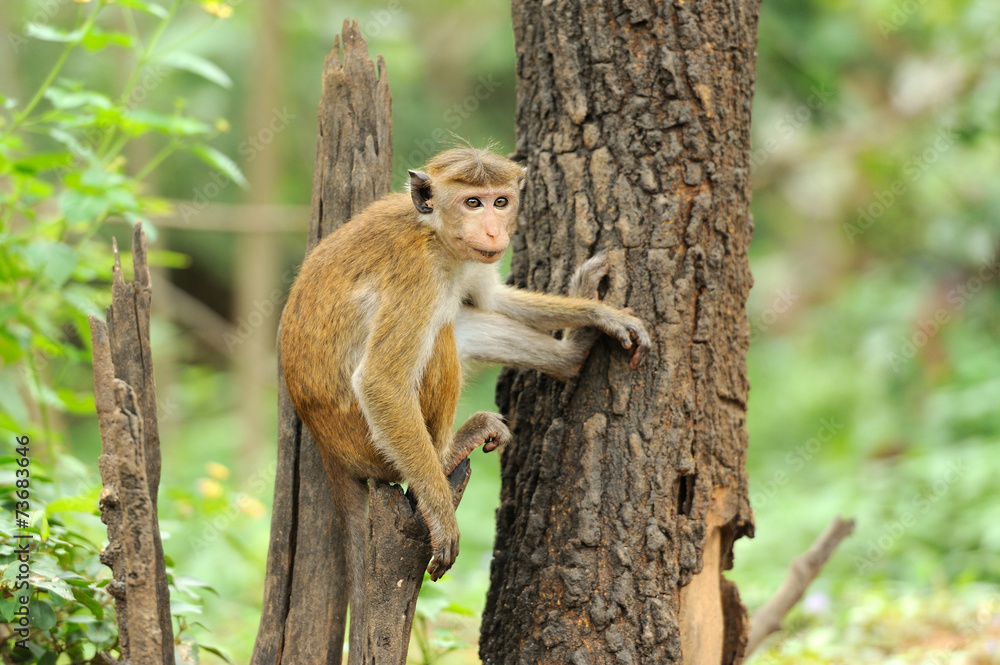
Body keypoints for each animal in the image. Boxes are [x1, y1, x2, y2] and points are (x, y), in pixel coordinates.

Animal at [280, 145, 648, 660]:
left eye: (500, 201)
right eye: (472, 203)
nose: (494, 230)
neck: (435, 234)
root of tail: (326, 443)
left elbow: (491, 299)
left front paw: (597, 313)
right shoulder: (417, 276)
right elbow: (381, 381)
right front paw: (441, 516)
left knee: (460, 320)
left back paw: (569, 356)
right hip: (370, 445)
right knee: (438, 338)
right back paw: (446, 454)